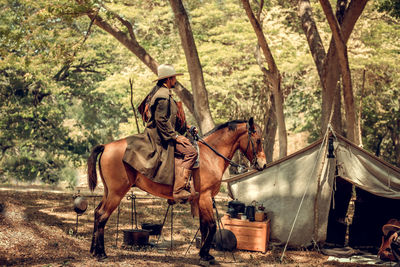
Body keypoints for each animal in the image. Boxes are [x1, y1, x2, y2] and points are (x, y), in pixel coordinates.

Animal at [89, 119, 268, 264]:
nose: (263, 164)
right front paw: (205, 255)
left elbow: (204, 227)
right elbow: (211, 226)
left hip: (108, 192)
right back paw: (101, 253)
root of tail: (106, 146)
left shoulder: (201, 200)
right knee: (102, 216)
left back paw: (93, 250)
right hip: (116, 194)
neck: (210, 156)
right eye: (258, 140)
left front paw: (204, 255)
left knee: (97, 213)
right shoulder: (205, 197)